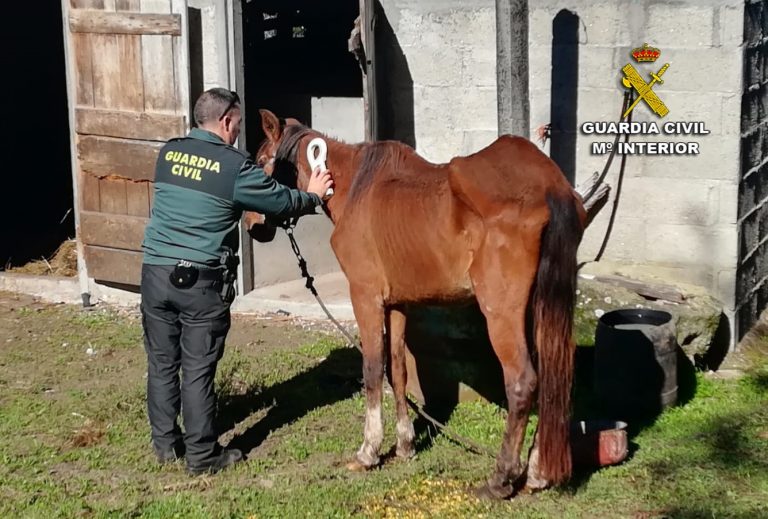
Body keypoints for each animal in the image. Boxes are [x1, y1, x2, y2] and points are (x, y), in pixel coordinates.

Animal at [255, 106, 584, 500]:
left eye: (261, 160)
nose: (253, 225)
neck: (355, 187)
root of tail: (549, 185)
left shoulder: (365, 297)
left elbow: (371, 369)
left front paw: (368, 451)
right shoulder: (397, 305)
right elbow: (397, 370)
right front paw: (405, 444)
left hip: (501, 312)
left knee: (523, 382)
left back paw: (501, 478)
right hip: (539, 309)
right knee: (552, 378)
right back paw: (536, 473)